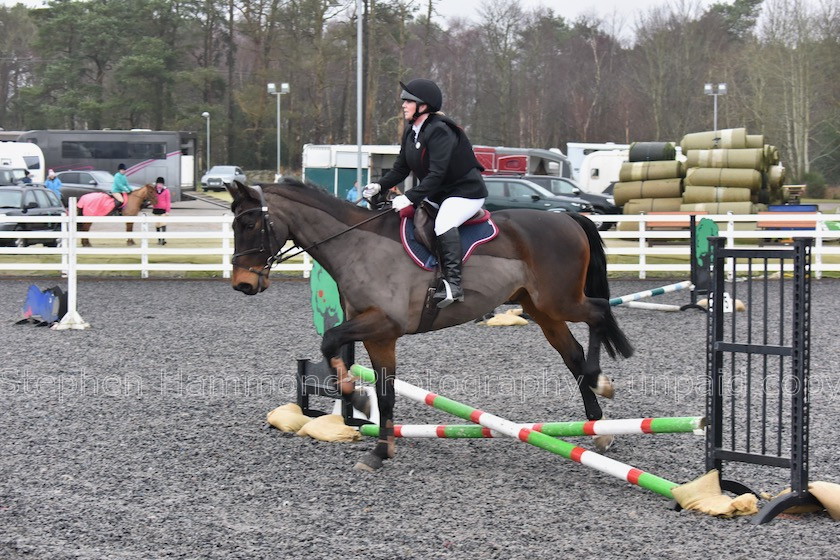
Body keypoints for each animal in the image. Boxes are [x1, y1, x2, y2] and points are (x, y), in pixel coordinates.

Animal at [226, 179, 632, 472]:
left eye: (249, 223)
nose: (242, 284)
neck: (355, 245)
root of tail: (567, 217)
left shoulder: (381, 323)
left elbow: (330, 341)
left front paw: (356, 397)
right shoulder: (380, 335)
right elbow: (385, 392)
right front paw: (380, 449)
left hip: (559, 301)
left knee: (598, 313)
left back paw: (601, 383)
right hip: (543, 309)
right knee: (572, 353)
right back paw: (598, 429)